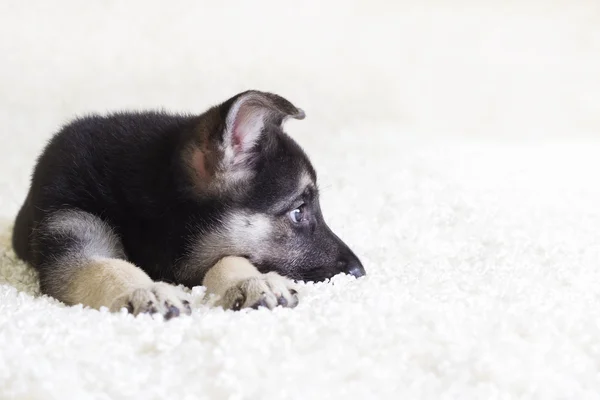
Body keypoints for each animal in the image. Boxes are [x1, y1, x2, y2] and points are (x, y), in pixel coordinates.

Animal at [11, 90, 364, 318]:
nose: (359, 272)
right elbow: (104, 266)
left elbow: (229, 258)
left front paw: (250, 280)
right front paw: (143, 290)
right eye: (298, 212)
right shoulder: (69, 222)